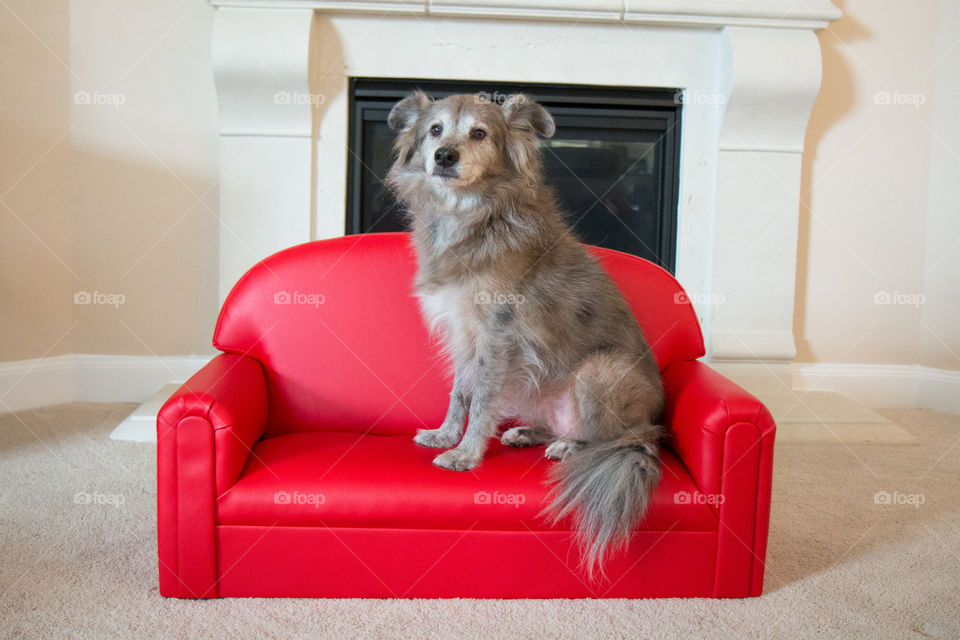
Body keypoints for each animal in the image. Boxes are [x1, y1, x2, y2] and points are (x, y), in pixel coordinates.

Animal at [386, 90, 664, 576]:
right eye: (435, 130)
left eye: (480, 133)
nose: (444, 156)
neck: (473, 217)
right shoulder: (465, 337)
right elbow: (460, 395)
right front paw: (446, 435)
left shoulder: (497, 337)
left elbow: (481, 402)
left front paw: (466, 454)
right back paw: (531, 434)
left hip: (600, 372)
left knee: (613, 440)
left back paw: (572, 447)